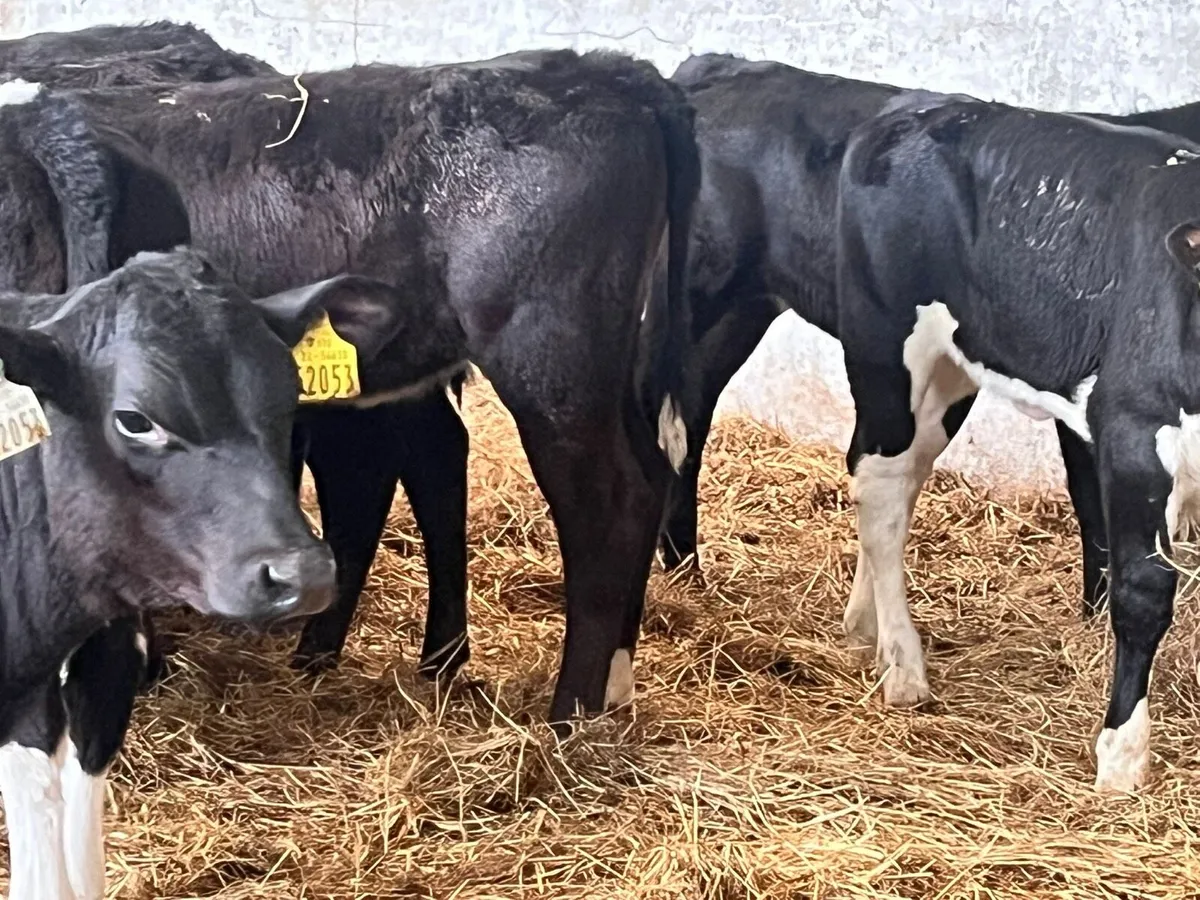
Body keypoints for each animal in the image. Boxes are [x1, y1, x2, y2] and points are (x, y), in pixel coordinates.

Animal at [829, 89, 1200, 792]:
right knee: (881, 487)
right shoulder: (1135, 429)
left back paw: (867, 627)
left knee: (898, 479)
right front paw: (1121, 756)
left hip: (950, 374)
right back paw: (904, 666)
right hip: (886, 347)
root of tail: (917, 107)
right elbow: (1143, 592)